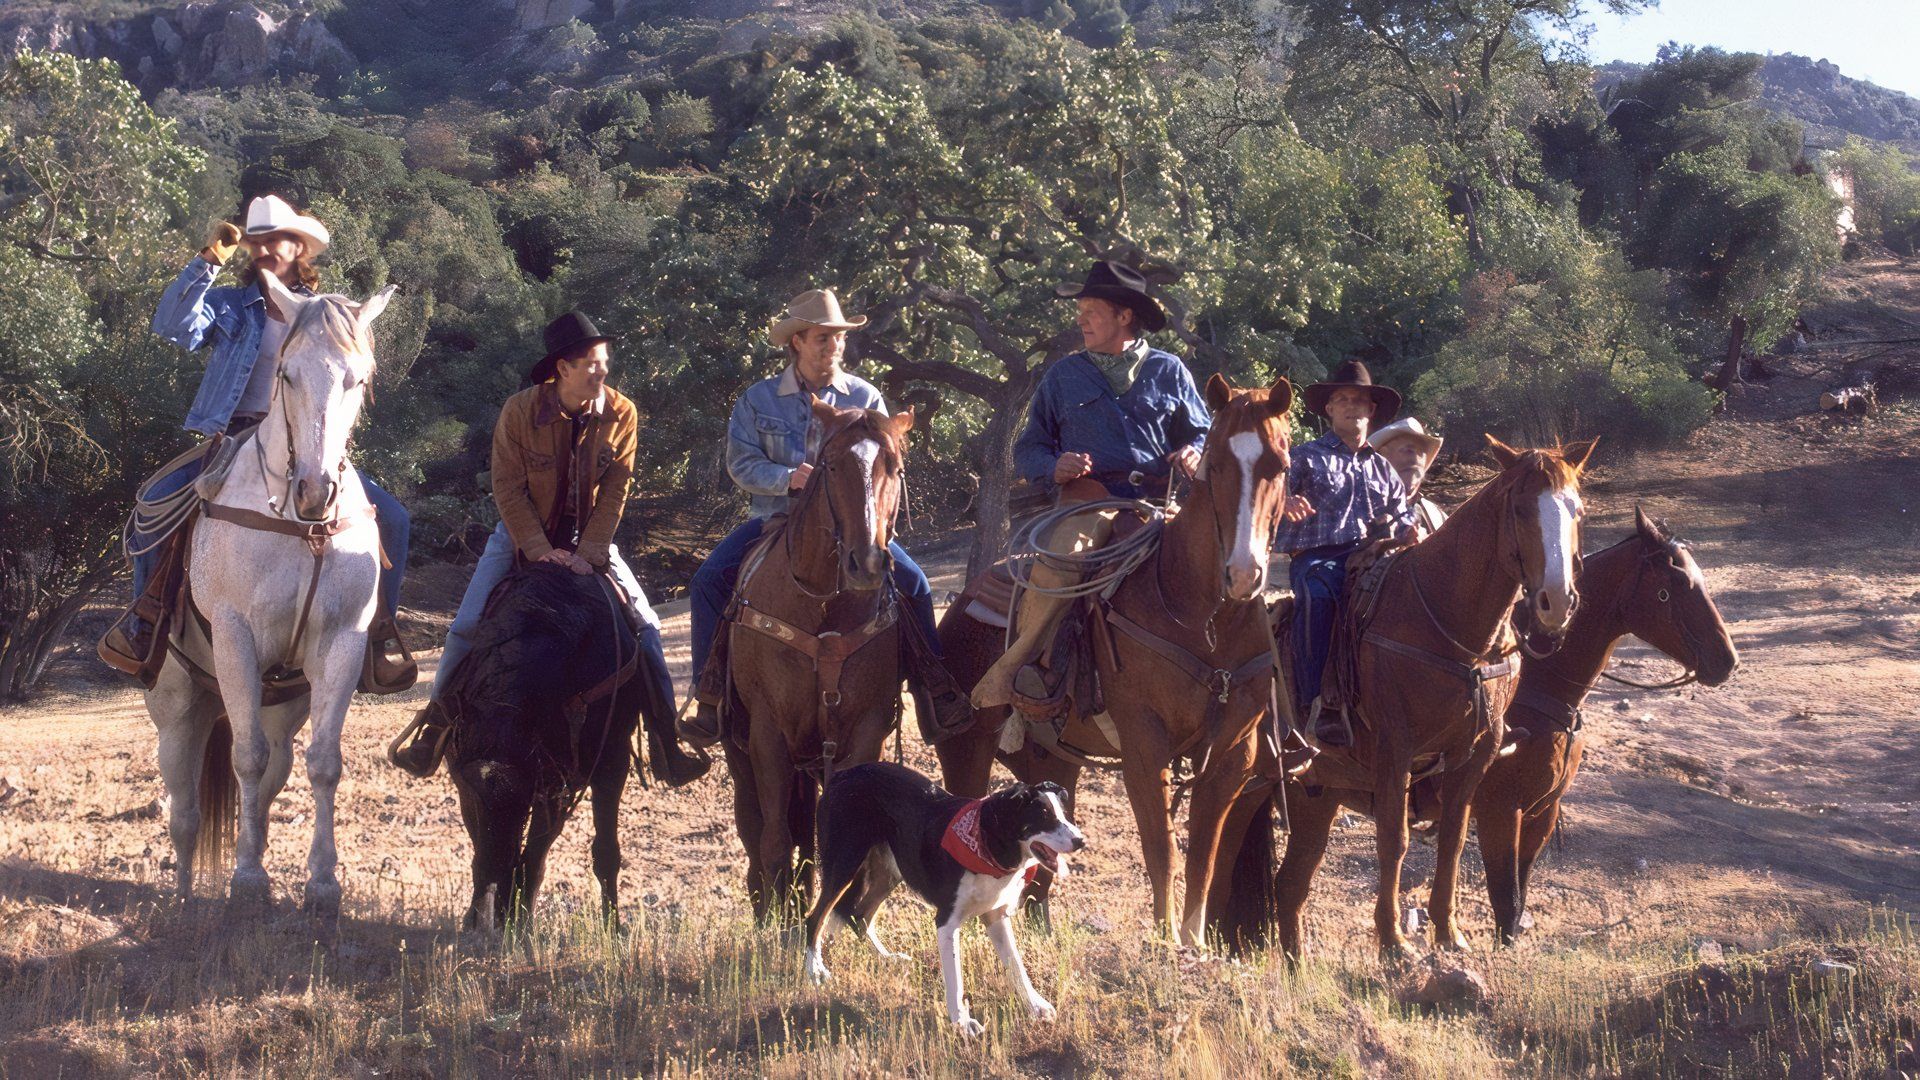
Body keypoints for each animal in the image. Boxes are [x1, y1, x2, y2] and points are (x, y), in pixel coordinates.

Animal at [721, 399, 917, 922]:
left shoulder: (865, 732)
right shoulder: (768, 734)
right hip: (743, 752)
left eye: (895, 467)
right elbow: (773, 841)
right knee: (757, 831)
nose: (866, 563)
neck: (824, 609)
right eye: (830, 465)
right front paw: (777, 923)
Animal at [802, 760, 1090, 1030]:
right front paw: (962, 1023)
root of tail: (841, 774)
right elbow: (956, 979)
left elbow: (1016, 965)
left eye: (1063, 815)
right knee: (816, 917)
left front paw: (1035, 1006)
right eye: (1044, 817)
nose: (1081, 841)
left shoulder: (995, 916)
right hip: (844, 863)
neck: (985, 841)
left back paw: (886, 958)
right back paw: (815, 969)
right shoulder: (947, 922)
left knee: (860, 916)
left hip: (890, 871)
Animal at [929, 372, 1290, 941]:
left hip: (1050, 756)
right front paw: (1165, 941)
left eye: (1281, 464)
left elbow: (1205, 854)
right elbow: (1162, 848)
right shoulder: (1143, 744)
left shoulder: (1234, 753)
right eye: (1214, 465)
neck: (1201, 618)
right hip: (966, 746)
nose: (1243, 574)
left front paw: (1194, 943)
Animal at [1267, 432, 1597, 953]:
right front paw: (1392, 939)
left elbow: (1454, 840)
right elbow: (1394, 840)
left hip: (1314, 795)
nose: (1557, 601)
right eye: (1520, 508)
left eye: (1577, 510)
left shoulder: (1474, 754)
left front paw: (1448, 932)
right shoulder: (1396, 751)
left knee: (1290, 885)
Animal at [1466, 507, 1743, 937]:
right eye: (1676, 584)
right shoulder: (1499, 812)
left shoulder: (1541, 814)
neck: (1535, 687)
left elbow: (1518, 900)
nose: (1727, 660)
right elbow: (1506, 906)